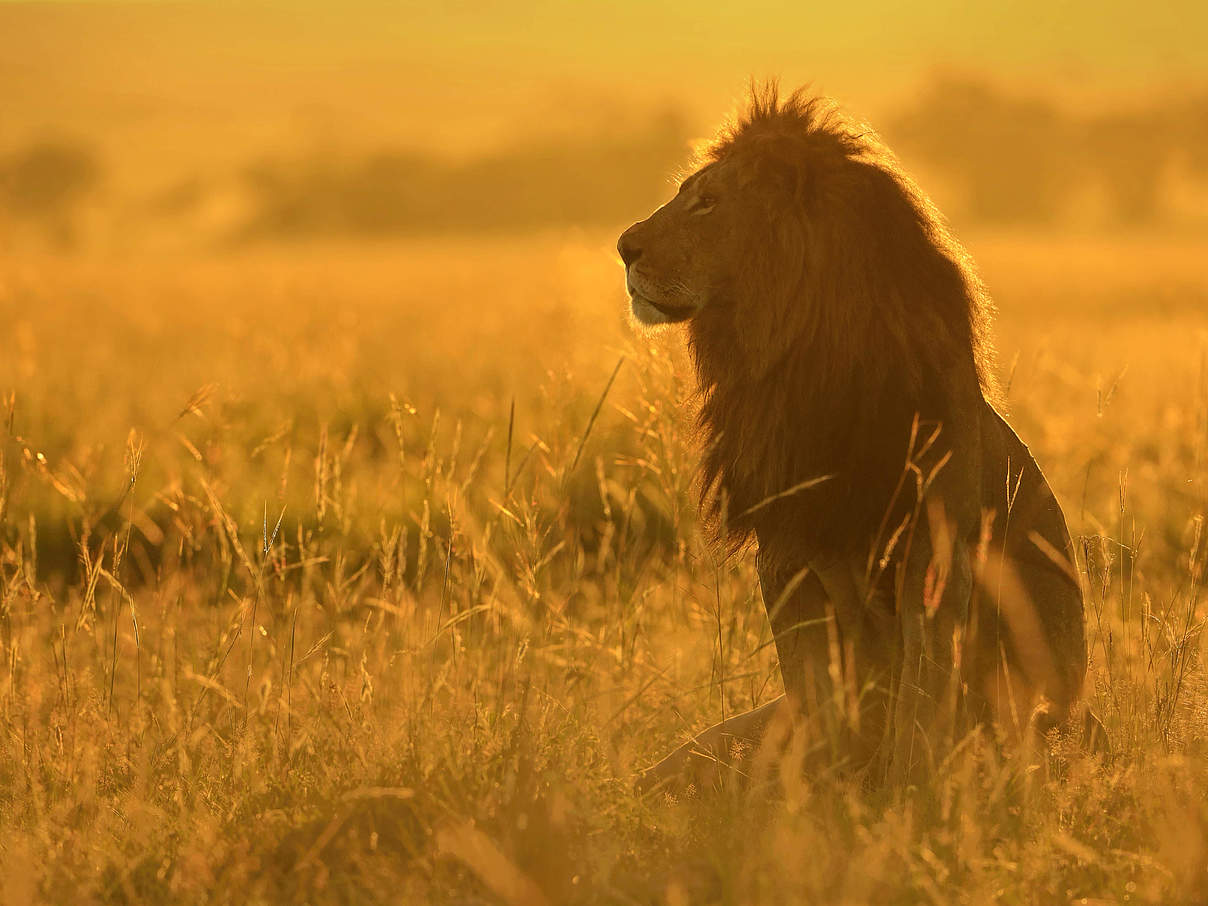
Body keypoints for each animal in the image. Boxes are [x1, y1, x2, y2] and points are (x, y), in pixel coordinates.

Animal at [618, 85, 1101, 792]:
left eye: (707, 201)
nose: (622, 247)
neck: (795, 368)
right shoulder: (786, 554)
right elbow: (819, 694)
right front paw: (817, 798)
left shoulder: (934, 552)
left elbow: (922, 698)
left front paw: (905, 796)